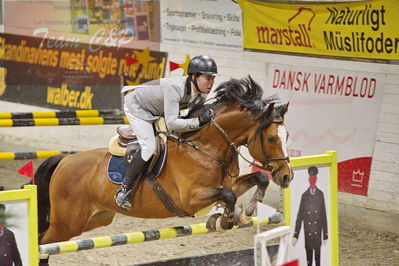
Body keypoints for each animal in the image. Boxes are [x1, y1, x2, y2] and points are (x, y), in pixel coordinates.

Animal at [36, 75, 294, 249]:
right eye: (271, 138)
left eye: (287, 136)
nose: (287, 176)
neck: (207, 148)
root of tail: (65, 160)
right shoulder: (191, 199)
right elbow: (229, 196)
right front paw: (225, 220)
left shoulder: (226, 185)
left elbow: (257, 179)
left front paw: (245, 213)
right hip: (66, 223)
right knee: (42, 243)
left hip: (95, 219)